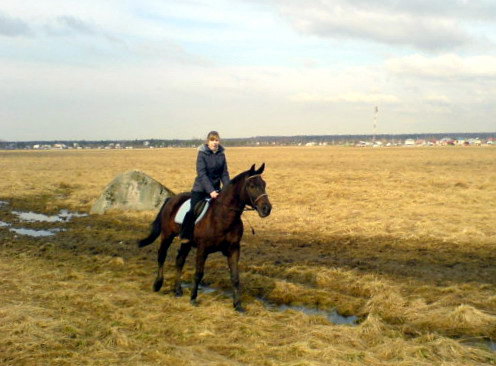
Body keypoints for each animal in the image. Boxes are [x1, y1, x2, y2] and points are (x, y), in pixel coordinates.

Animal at [138, 164, 274, 310]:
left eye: (264, 184)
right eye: (252, 186)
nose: (267, 209)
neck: (223, 216)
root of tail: (170, 199)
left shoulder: (234, 249)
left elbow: (235, 277)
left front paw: (238, 305)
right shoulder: (202, 249)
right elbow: (198, 274)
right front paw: (193, 299)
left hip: (186, 242)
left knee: (179, 260)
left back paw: (178, 290)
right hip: (167, 236)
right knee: (161, 256)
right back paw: (157, 284)